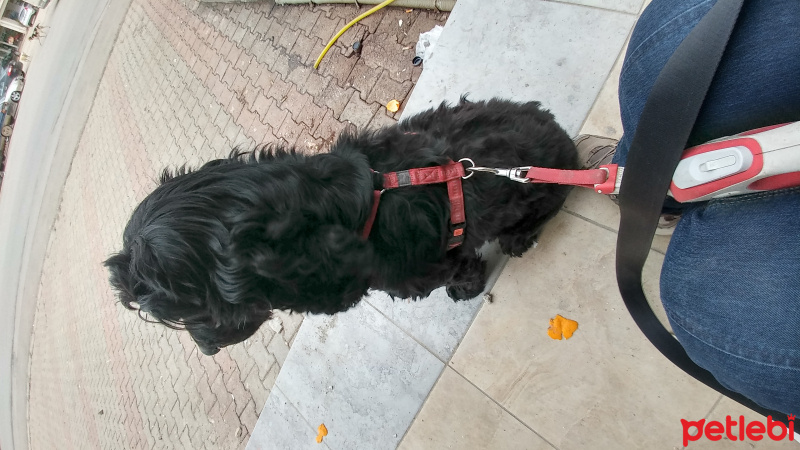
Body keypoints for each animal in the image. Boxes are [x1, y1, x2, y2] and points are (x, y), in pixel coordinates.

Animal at [106, 98, 580, 356]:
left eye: (189, 310)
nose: (206, 349)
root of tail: (575, 152)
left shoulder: (433, 262)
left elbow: (460, 268)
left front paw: (466, 288)